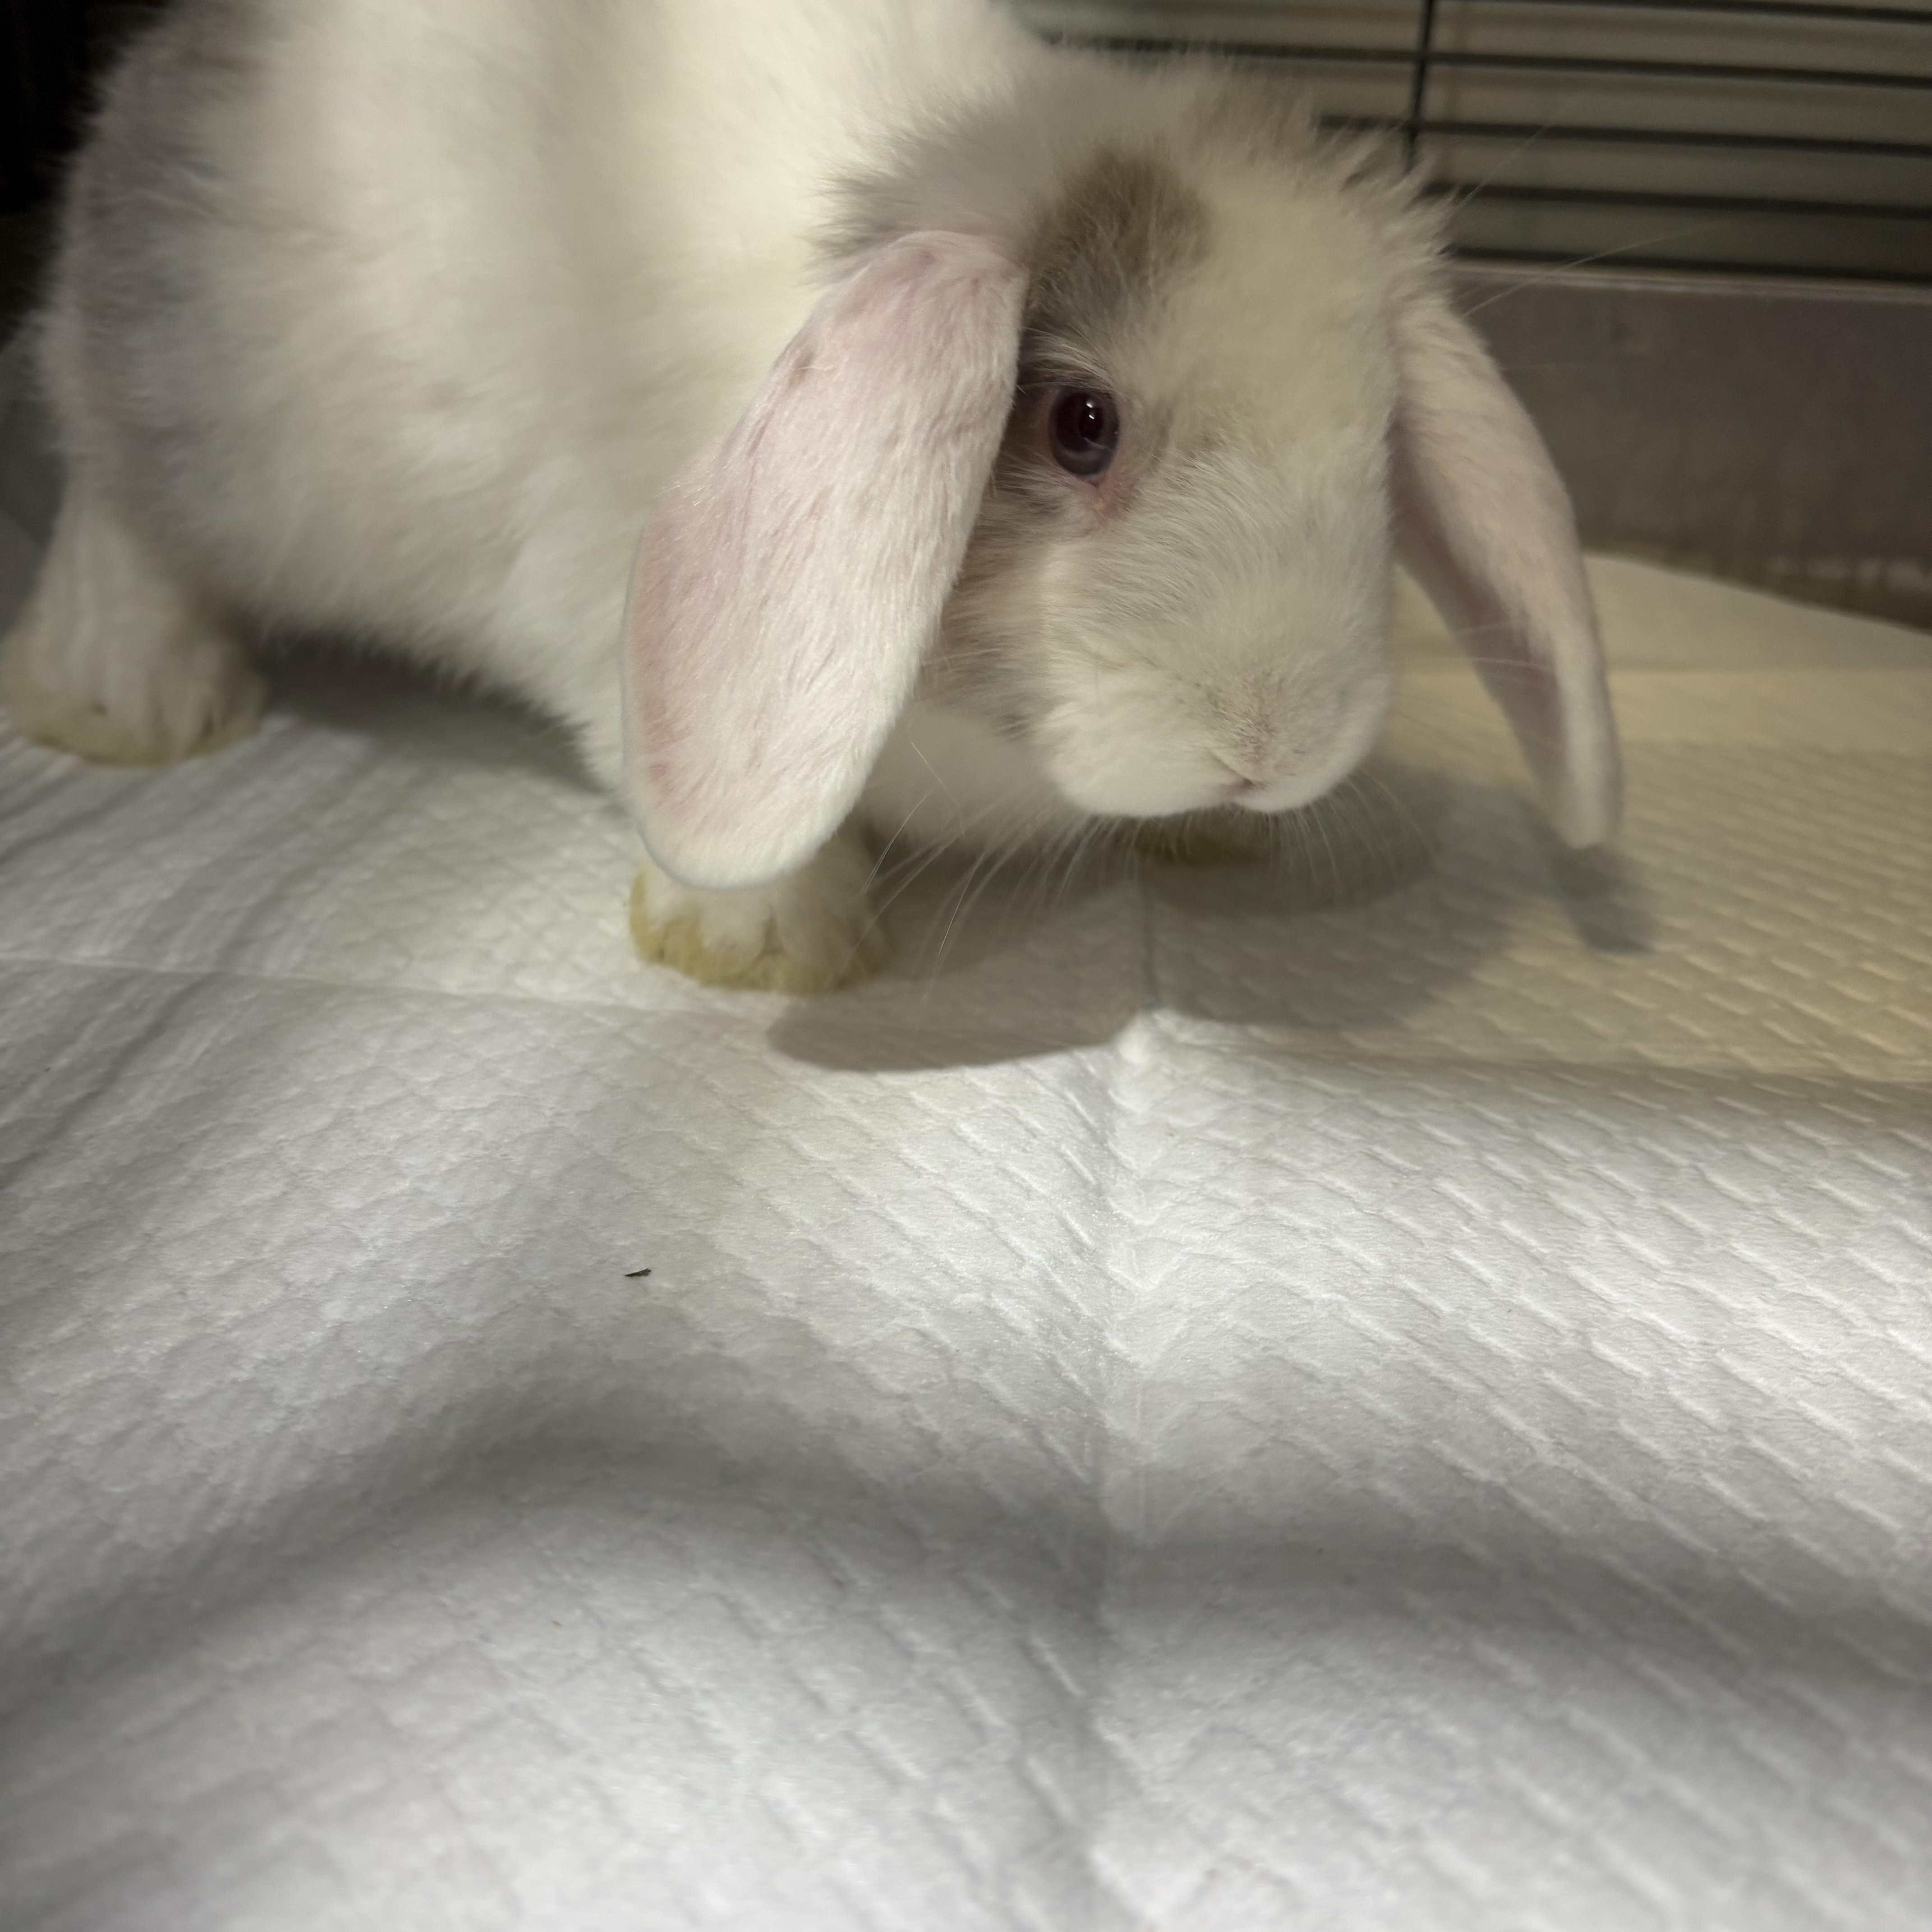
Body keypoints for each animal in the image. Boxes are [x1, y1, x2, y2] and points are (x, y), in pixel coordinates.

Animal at [0, 0, 1620, 992]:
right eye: (1078, 426)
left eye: (1379, 433)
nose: (1267, 751)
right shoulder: (607, 617)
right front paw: (772, 944)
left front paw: (1216, 844)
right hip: (183, 429)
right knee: (113, 514)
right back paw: (135, 702)